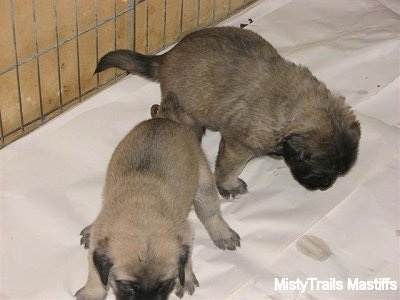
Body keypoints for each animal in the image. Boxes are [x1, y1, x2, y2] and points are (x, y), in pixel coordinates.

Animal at [95, 27, 360, 198]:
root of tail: (166, 59)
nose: (326, 187)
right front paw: (229, 186)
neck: (291, 108)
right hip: (187, 114)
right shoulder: (237, 145)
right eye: (321, 172)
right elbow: (229, 167)